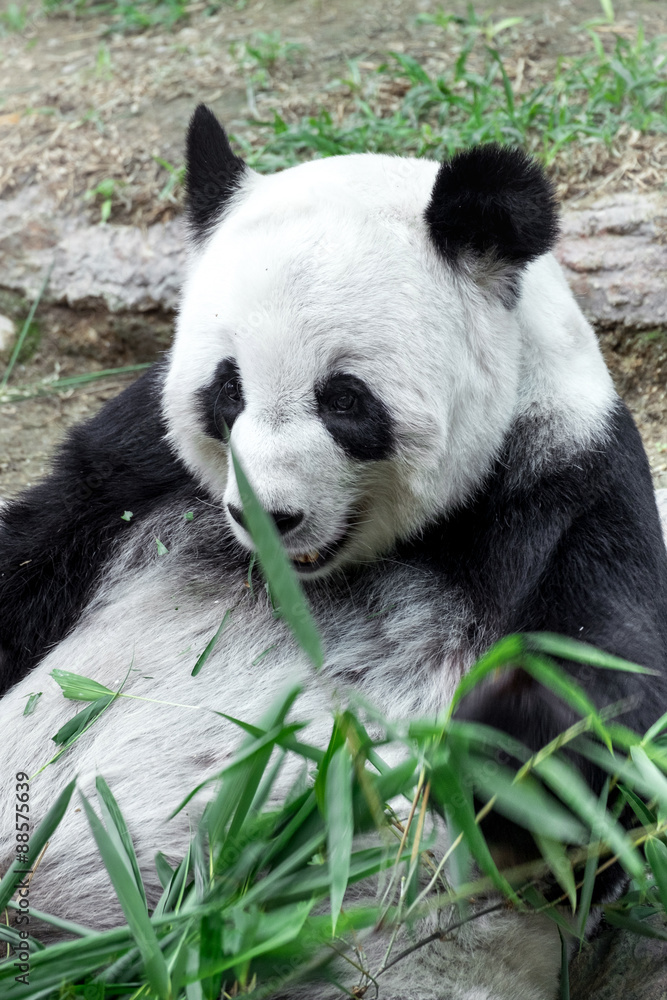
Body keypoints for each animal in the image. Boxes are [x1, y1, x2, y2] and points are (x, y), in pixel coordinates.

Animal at [1, 104, 667, 1000]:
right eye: (227, 391)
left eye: (344, 400)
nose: (267, 516)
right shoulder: (137, 465)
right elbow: (40, 546)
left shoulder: (566, 489)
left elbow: (601, 748)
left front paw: (517, 729)